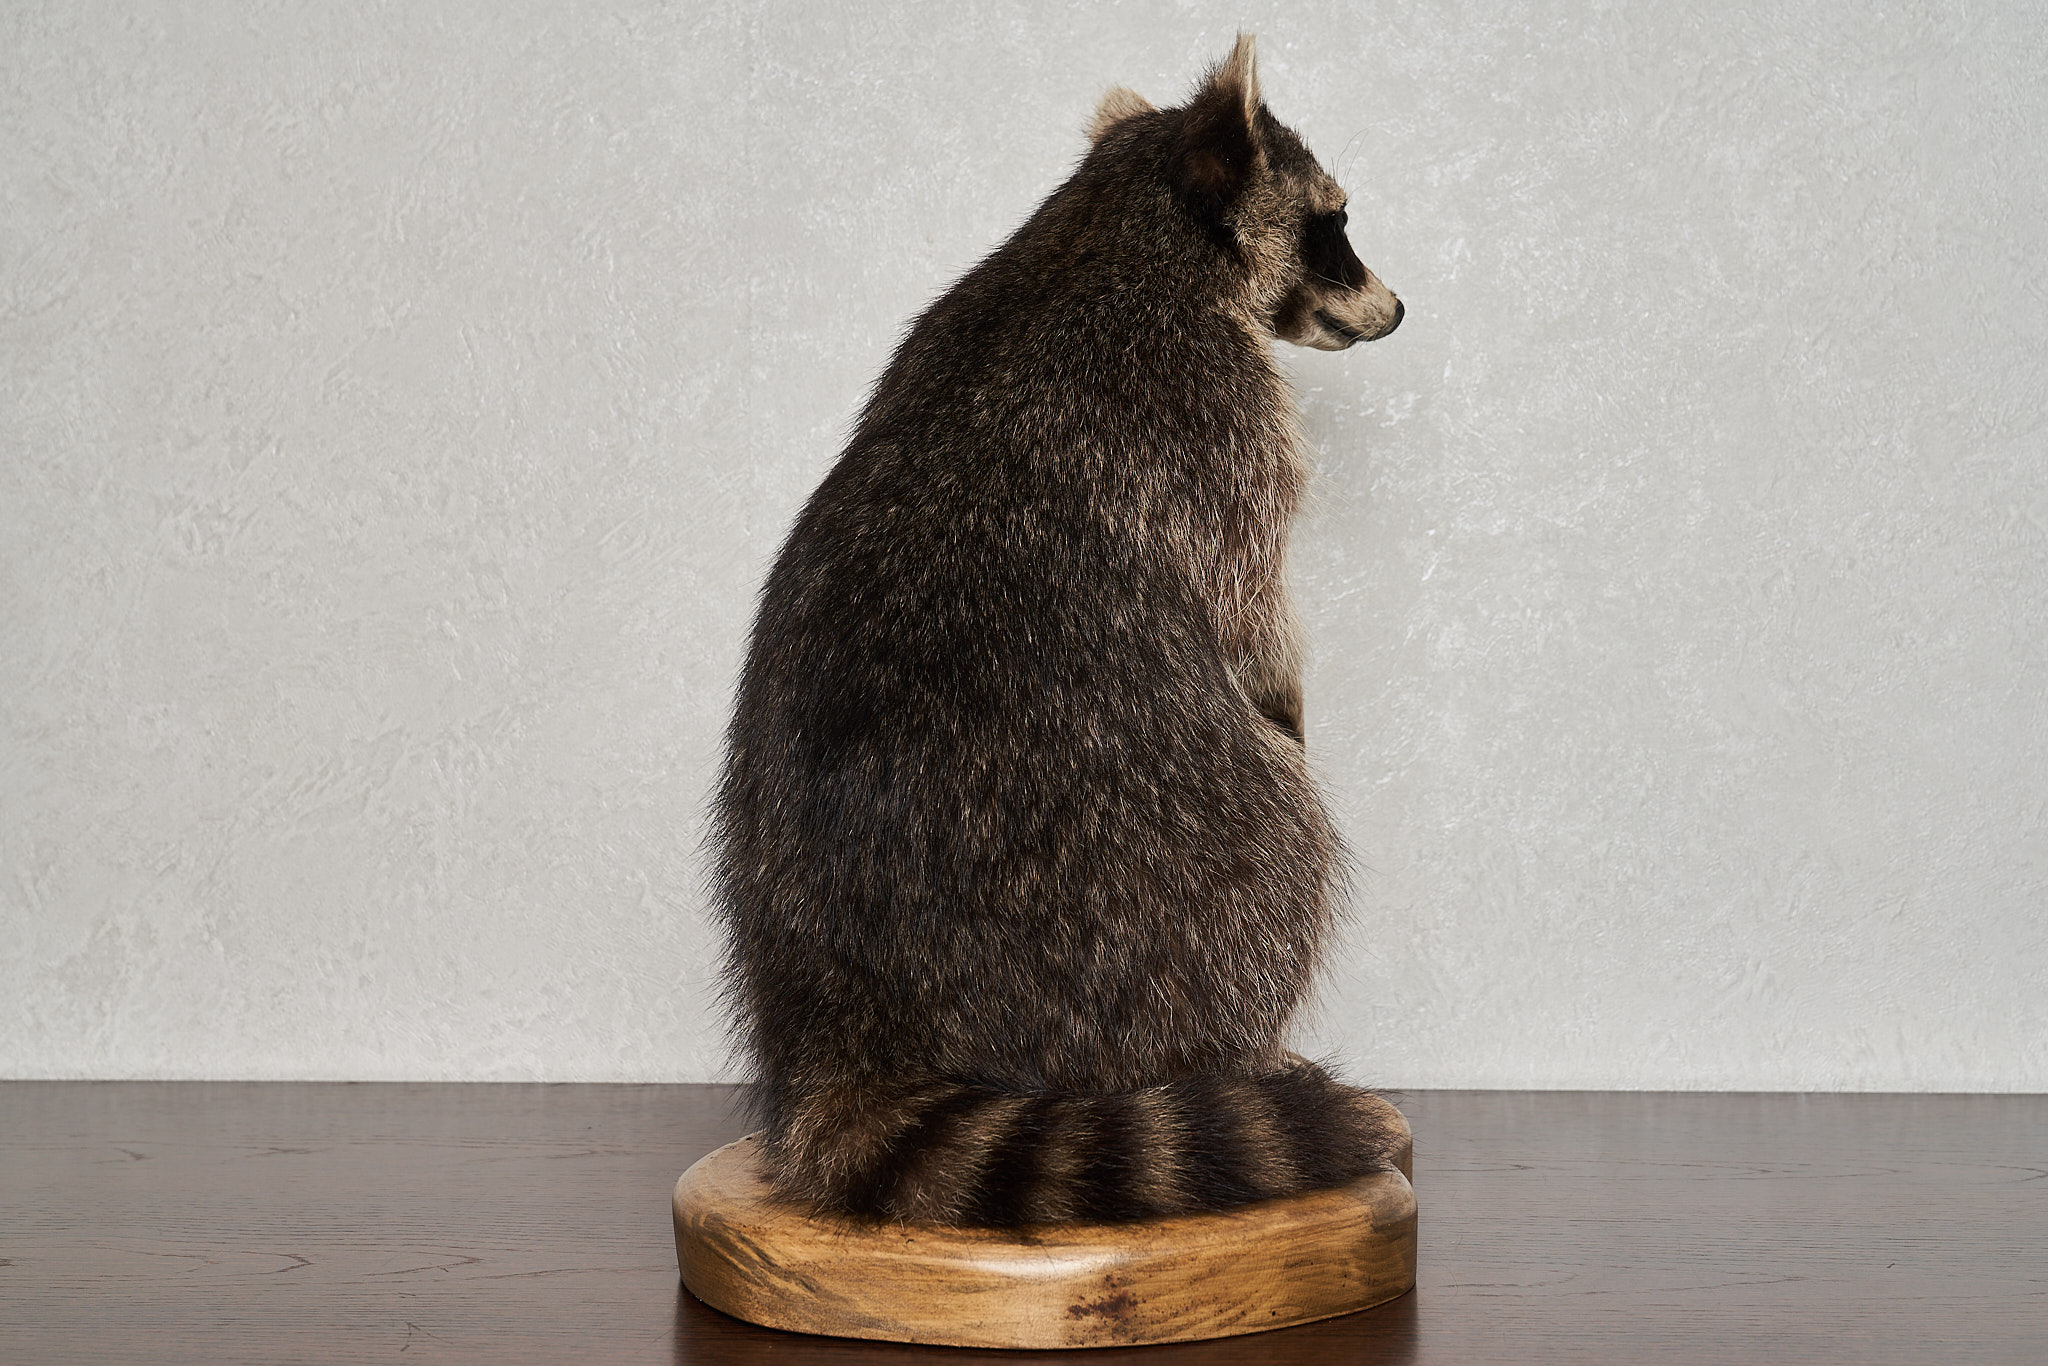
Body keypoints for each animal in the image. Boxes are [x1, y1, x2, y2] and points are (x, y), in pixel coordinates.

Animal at [710, 36, 1404, 1227]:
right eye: (1334, 223)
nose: (1398, 309)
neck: (1112, 223)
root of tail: (844, 1020)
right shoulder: (1213, 425)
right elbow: (1245, 614)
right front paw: (1282, 690)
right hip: (1149, 860)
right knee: (1279, 838)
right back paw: (1236, 1052)